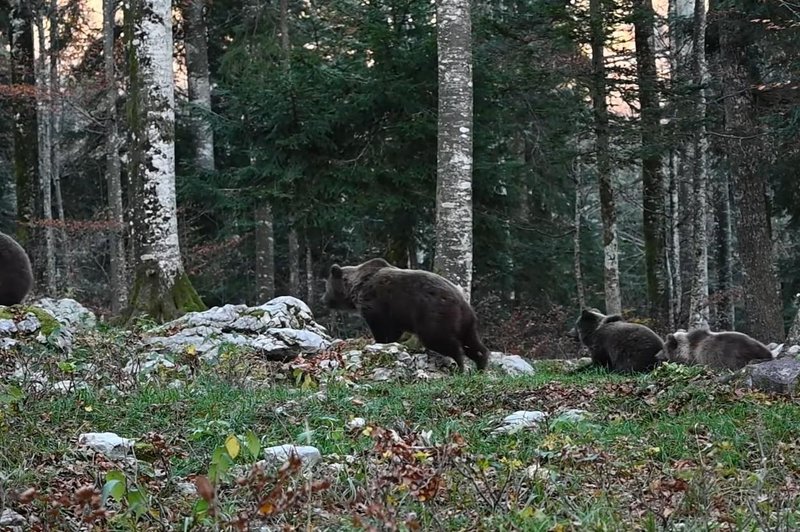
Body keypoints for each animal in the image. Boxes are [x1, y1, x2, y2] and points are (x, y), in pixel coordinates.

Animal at [324, 258, 488, 370]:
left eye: (327, 286)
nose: (324, 300)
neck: (356, 288)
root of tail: (462, 302)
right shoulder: (396, 315)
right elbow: (394, 331)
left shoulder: (378, 305)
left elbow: (381, 328)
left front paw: (378, 342)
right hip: (466, 322)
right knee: (472, 343)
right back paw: (481, 365)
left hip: (433, 315)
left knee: (441, 340)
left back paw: (460, 366)